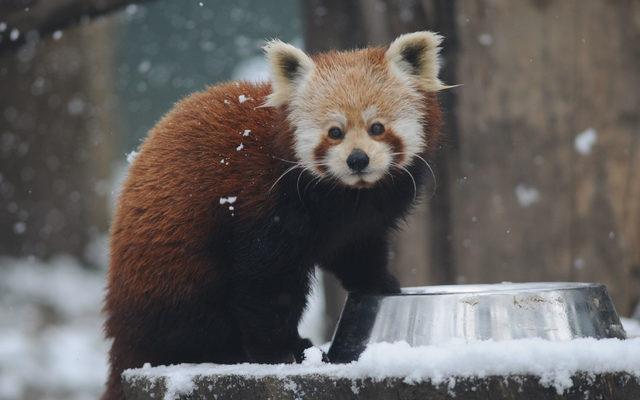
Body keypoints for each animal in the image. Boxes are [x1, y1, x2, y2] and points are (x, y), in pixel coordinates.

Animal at [104, 32, 444, 400]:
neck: (344, 195)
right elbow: (264, 285)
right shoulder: (262, 206)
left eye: (377, 127)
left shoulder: (358, 222)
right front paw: (278, 351)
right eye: (335, 132)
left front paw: (379, 282)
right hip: (176, 271)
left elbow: (358, 250)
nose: (357, 159)